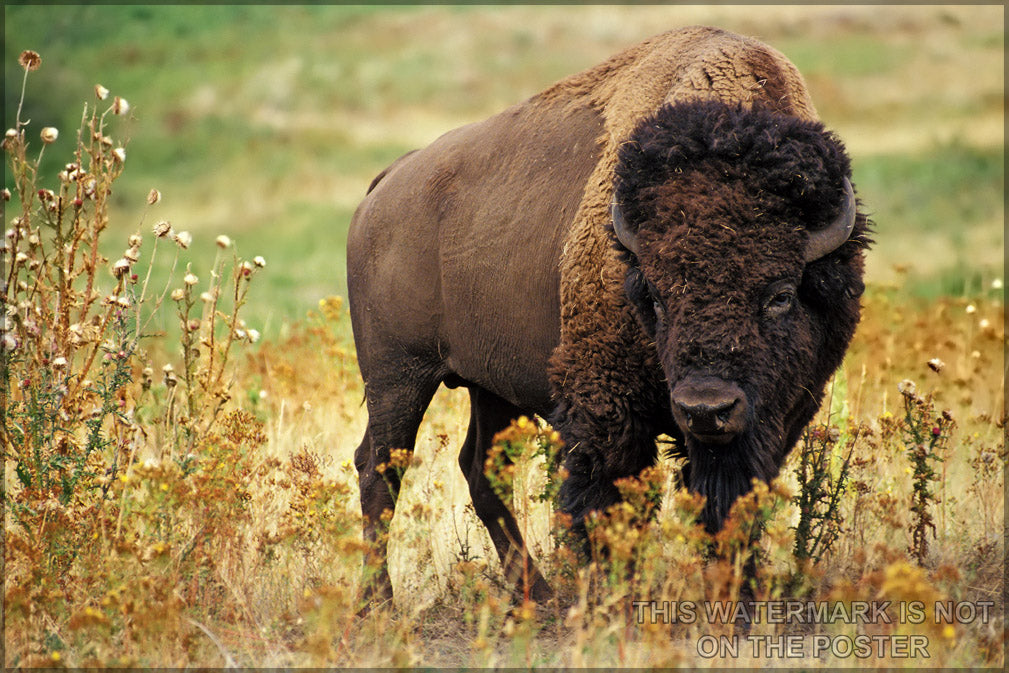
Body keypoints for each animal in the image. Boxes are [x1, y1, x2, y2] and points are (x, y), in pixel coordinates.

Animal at [347, 26, 870, 603]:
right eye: (656, 297)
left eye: (780, 294)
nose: (705, 408)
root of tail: (387, 183)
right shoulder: (607, 409)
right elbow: (606, 506)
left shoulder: (776, 418)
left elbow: (731, 506)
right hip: (398, 375)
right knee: (380, 469)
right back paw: (378, 602)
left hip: (489, 384)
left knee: (479, 469)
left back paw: (536, 597)